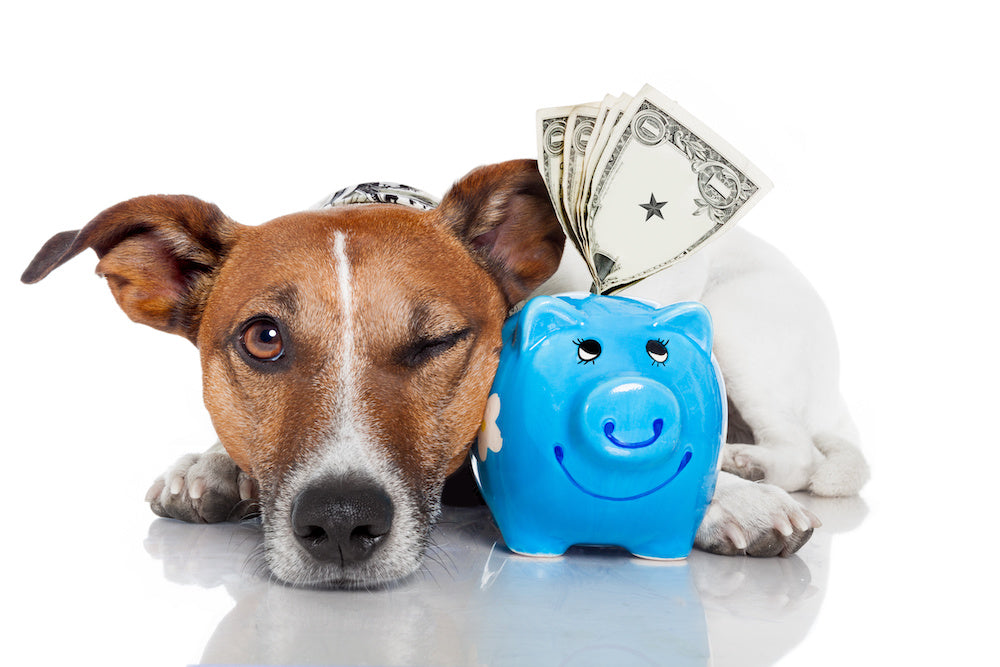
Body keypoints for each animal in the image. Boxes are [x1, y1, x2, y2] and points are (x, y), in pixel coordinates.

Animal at [23, 159, 868, 588]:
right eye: (263, 339)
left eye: (437, 341)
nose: (339, 522)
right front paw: (210, 466)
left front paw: (727, 500)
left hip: (746, 325)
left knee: (798, 449)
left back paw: (744, 463)